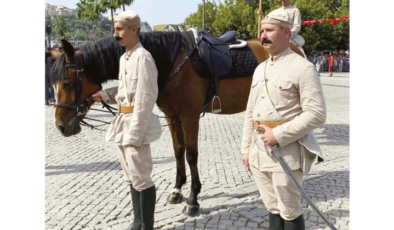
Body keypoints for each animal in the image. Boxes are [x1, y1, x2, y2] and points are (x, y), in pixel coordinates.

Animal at [48, 31, 302, 216]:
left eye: (67, 82)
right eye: (53, 82)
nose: (61, 126)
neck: (171, 62)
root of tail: (296, 45)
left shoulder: (189, 117)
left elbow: (191, 155)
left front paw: (193, 199)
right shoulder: (173, 117)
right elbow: (178, 151)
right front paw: (177, 190)